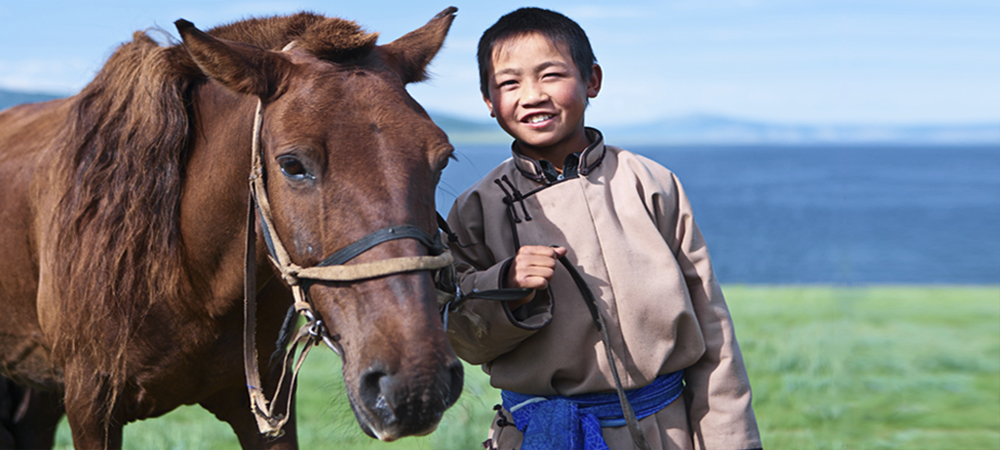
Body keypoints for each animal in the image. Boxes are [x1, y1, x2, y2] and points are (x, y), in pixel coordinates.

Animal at [0, 7, 460, 450]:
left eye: (443, 159)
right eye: (292, 164)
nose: (416, 385)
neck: (186, 277)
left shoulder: (265, 404)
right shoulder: (91, 406)